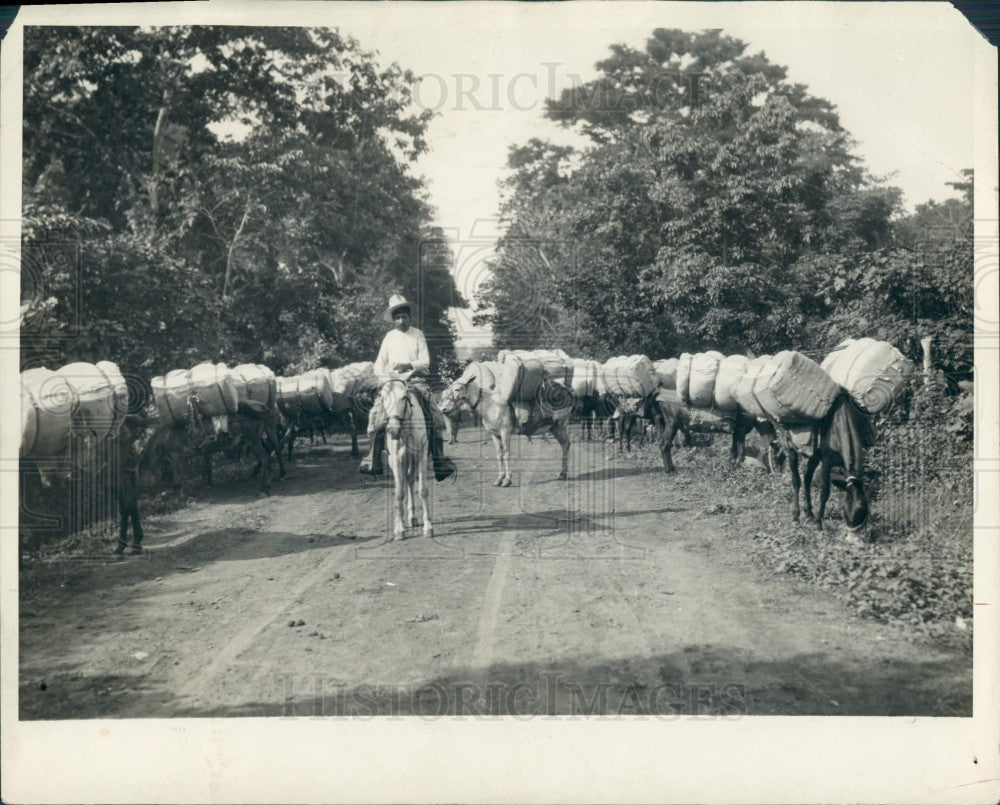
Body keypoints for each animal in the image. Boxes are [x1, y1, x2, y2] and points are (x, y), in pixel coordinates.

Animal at [378, 378, 434, 540]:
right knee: (403, 483)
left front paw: (428, 527)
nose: (393, 430)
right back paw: (403, 520)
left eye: (404, 397)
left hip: (412, 459)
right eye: (383, 398)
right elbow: (399, 493)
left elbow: (422, 490)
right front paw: (399, 530)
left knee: (409, 480)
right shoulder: (396, 459)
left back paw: (412, 517)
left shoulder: (421, 455)